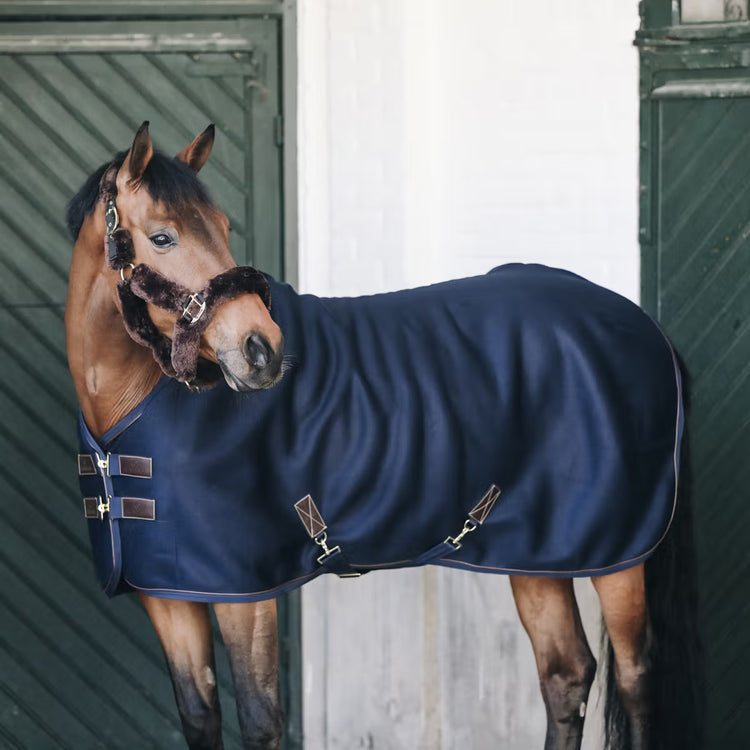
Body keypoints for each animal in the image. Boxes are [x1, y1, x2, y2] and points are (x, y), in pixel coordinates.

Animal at [65, 122, 703, 750]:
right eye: (163, 237)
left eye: (222, 228)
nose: (262, 351)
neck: (132, 408)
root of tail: (643, 326)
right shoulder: (169, 594)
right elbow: (200, 716)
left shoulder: (246, 596)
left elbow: (259, 717)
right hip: (537, 553)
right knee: (565, 673)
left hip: (618, 561)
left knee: (635, 679)